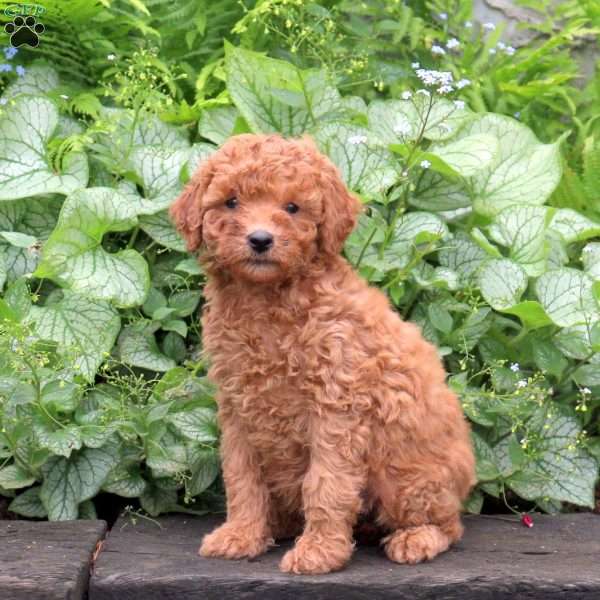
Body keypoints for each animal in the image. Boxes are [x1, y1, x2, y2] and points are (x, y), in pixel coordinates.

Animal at [171, 134, 476, 576]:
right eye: (231, 202)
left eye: (292, 207)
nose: (260, 239)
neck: (268, 303)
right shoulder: (237, 407)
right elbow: (242, 478)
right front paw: (241, 535)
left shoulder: (336, 408)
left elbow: (326, 485)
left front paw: (319, 552)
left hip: (405, 475)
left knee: (449, 525)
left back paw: (416, 538)